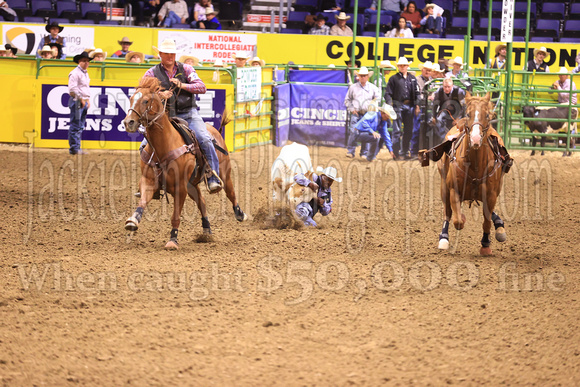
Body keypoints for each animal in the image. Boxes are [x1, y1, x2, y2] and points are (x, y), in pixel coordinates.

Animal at [123, 77, 246, 250]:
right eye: (132, 98)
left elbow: (176, 216)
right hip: (192, 184)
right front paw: (133, 220)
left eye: (146, 100)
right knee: (202, 201)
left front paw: (172, 240)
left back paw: (239, 213)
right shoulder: (149, 181)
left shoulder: (180, 186)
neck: (164, 145)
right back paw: (206, 232)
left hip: (223, 173)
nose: (129, 122)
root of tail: (215, 131)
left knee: (230, 192)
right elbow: (142, 201)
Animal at [440, 93, 508, 258]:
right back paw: (443, 238)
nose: (476, 139)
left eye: (487, 115)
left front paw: (485, 244)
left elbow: (487, 221)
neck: (475, 166)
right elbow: (457, 220)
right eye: (468, 114)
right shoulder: (454, 191)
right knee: (447, 213)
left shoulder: (491, 195)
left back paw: (499, 226)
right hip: (444, 187)